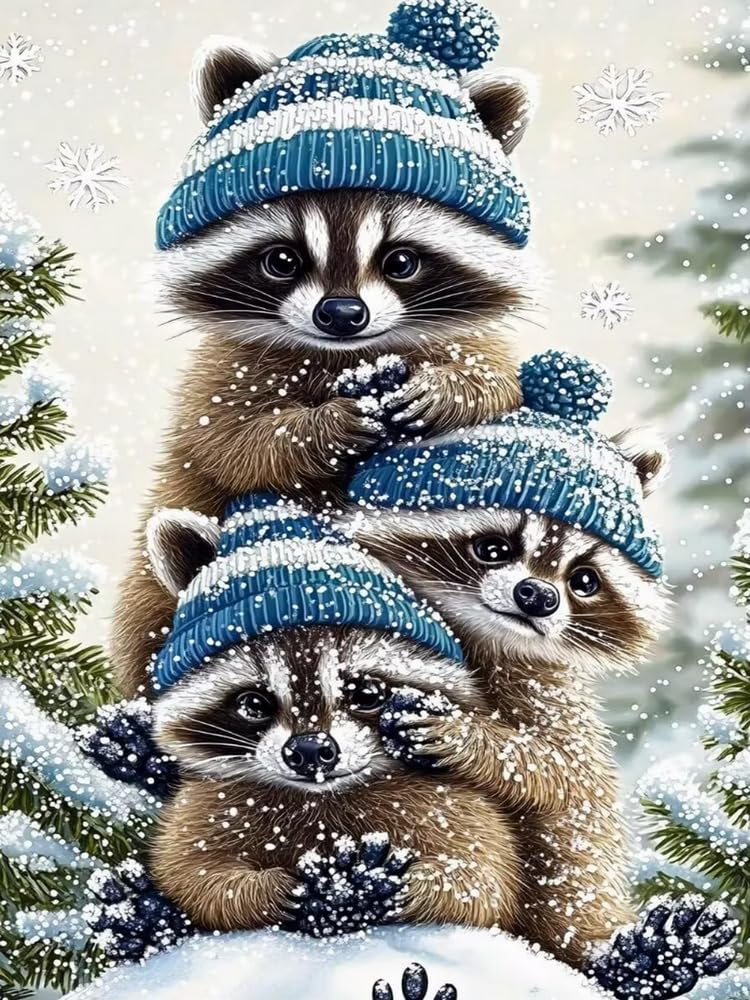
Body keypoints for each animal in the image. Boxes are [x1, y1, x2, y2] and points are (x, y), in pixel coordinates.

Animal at [112, 34, 538, 698]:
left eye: (401, 261)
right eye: (282, 260)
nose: (341, 313)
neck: (345, 357)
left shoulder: (474, 343)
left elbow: (499, 390)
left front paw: (449, 391)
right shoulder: (218, 376)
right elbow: (234, 445)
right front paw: (322, 428)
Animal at [346, 427, 672, 965]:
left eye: (584, 580)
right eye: (493, 548)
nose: (538, 596)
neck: (485, 636)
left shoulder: (550, 693)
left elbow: (564, 773)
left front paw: (471, 737)